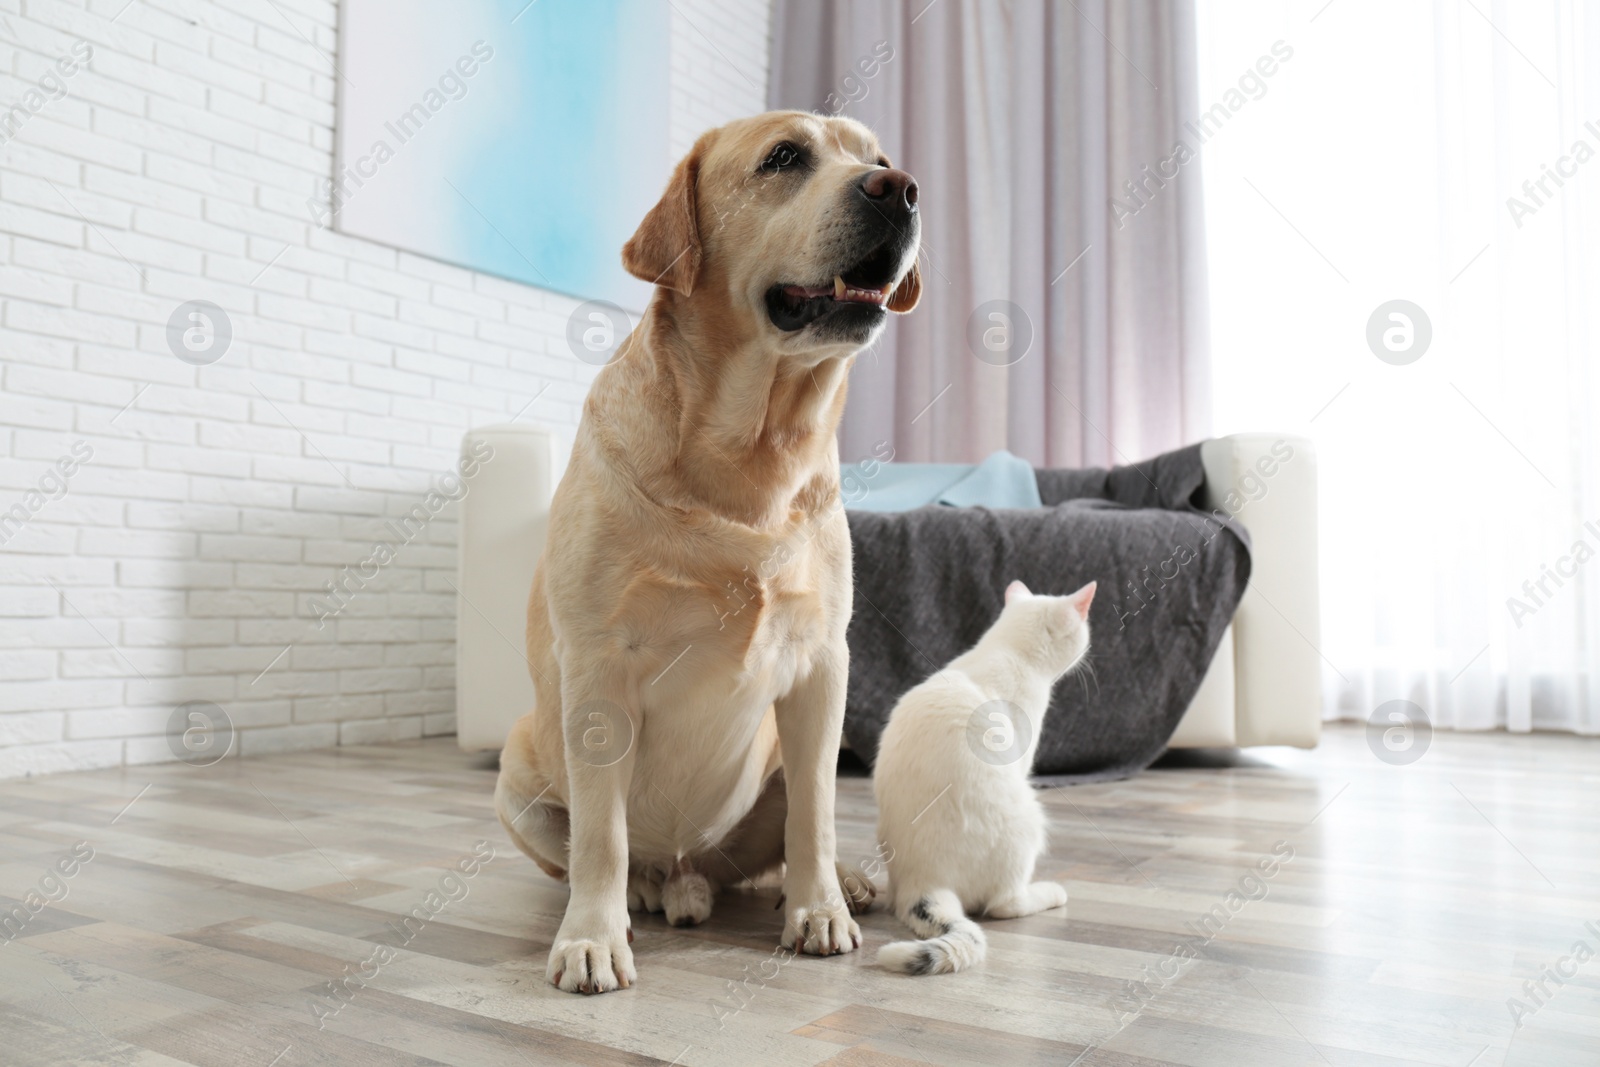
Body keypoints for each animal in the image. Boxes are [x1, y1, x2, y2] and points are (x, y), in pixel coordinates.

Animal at [492, 110, 928, 991]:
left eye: (877, 158)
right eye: (785, 157)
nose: (900, 189)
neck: (751, 457)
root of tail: (688, 868)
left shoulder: (823, 664)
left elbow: (816, 814)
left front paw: (819, 908)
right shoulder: (599, 667)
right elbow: (602, 835)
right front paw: (592, 937)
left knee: (786, 830)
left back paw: (844, 882)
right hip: (518, 766)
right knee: (612, 851)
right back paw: (646, 890)